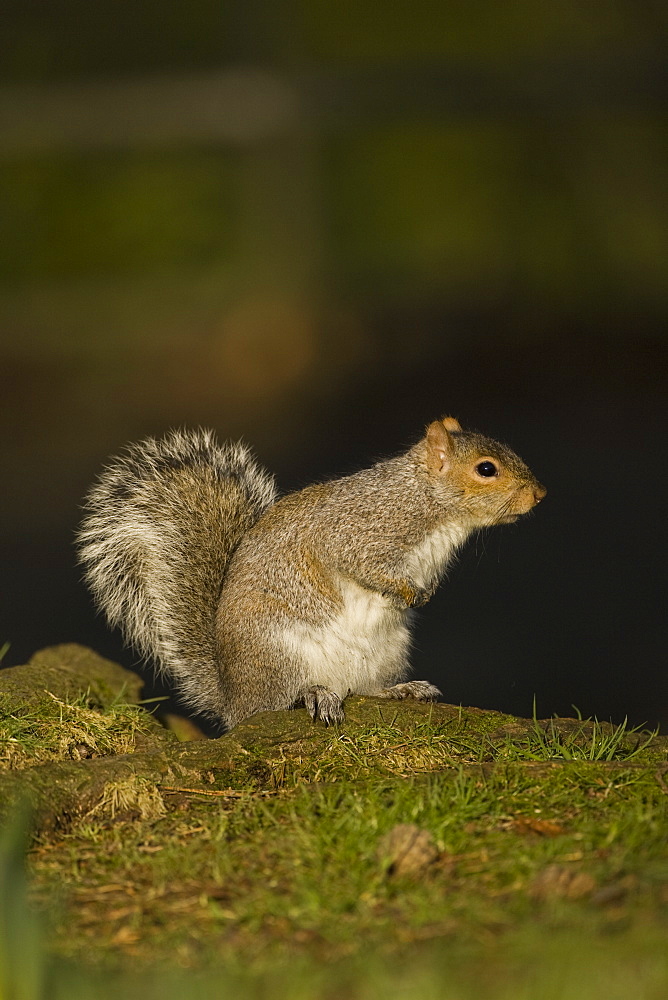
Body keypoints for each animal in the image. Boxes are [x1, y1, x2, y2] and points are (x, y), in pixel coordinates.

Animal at [78, 418, 544, 732]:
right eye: (486, 469)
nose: (539, 494)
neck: (429, 504)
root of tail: (233, 701)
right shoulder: (357, 534)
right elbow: (363, 566)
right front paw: (405, 590)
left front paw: (424, 593)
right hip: (280, 652)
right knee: (280, 703)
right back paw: (314, 695)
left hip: (386, 652)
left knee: (364, 688)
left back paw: (400, 689)